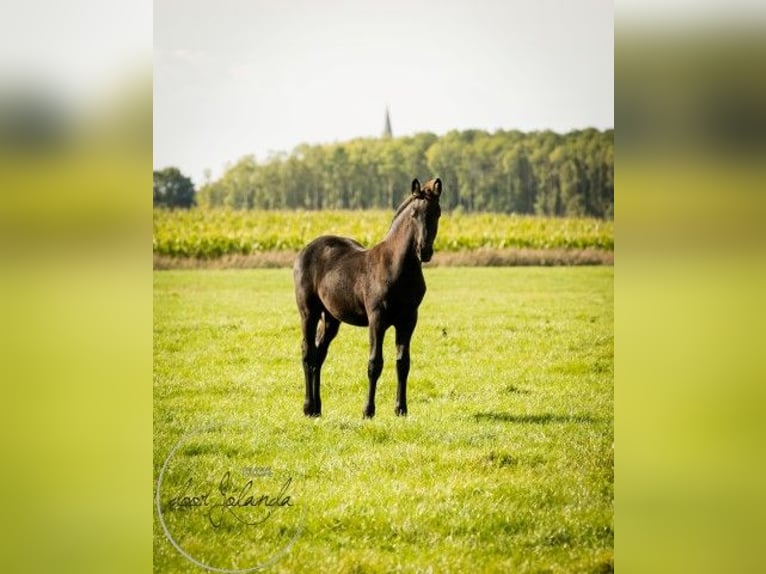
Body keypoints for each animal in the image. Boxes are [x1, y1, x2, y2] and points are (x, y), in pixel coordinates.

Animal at [293, 177, 442, 418]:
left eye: (437, 212)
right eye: (414, 213)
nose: (424, 251)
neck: (396, 266)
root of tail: (305, 250)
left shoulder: (409, 320)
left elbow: (403, 363)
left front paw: (401, 409)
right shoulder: (377, 319)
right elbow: (375, 364)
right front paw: (368, 411)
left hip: (331, 318)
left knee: (319, 354)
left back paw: (317, 408)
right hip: (308, 312)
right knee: (308, 352)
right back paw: (308, 407)